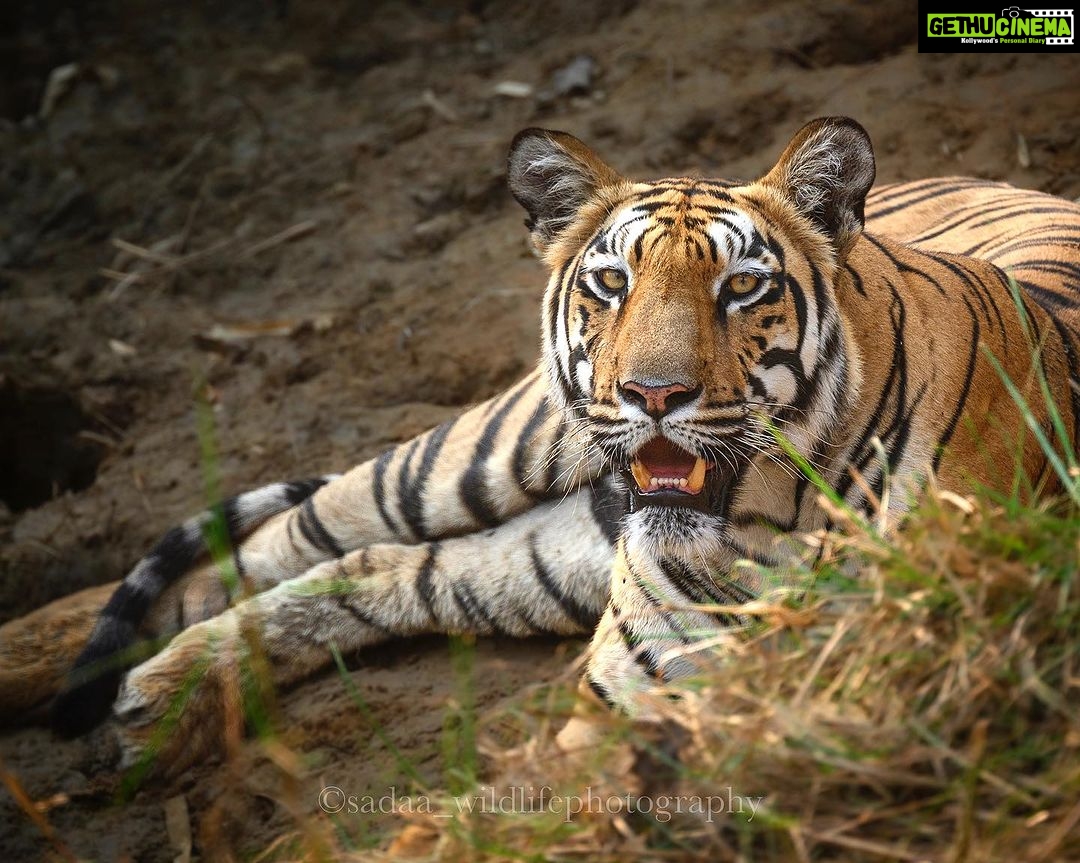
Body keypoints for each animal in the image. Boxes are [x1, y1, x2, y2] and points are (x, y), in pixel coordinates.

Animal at [1, 116, 1077, 776]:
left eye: (740, 287)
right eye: (612, 283)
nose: (653, 393)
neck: (766, 519)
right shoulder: (625, 694)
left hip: (546, 553)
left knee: (390, 567)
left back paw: (157, 703)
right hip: (486, 449)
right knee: (291, 534)